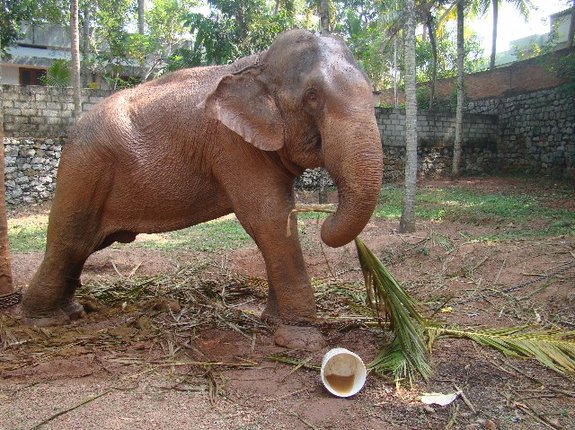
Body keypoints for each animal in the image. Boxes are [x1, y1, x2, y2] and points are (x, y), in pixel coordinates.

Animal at [21, 29, 383, 351]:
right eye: (312, 97)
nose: (325, 221)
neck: (258, 62)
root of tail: (73, 131)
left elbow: (277, 218)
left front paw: (271, 321)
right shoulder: (232, 145)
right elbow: (269, 218)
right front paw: (302, 339)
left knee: (82, 247)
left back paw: (70, 311)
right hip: (83, 171)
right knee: (70, 240)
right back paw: (45, 320)